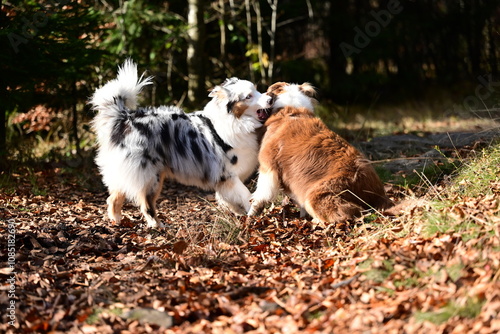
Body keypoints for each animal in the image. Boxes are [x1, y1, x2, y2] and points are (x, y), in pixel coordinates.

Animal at [248, 82, 392, 223]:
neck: (291, 108)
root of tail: (378, 195)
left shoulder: (268, 169)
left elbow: (259, 197)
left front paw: (250, 216)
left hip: (315, 195)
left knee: (348, 214)